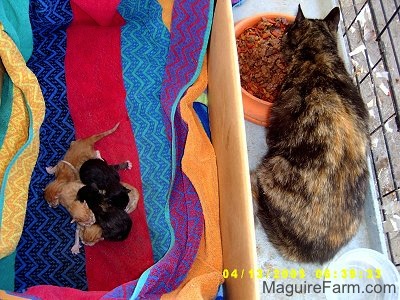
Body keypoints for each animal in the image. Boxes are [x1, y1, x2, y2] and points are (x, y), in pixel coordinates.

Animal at [252, 5, 370, 264]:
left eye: (288, 31)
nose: (282, 38)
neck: (319, 55)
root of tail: (308, 253)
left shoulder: (279, 120)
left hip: (272, 167)